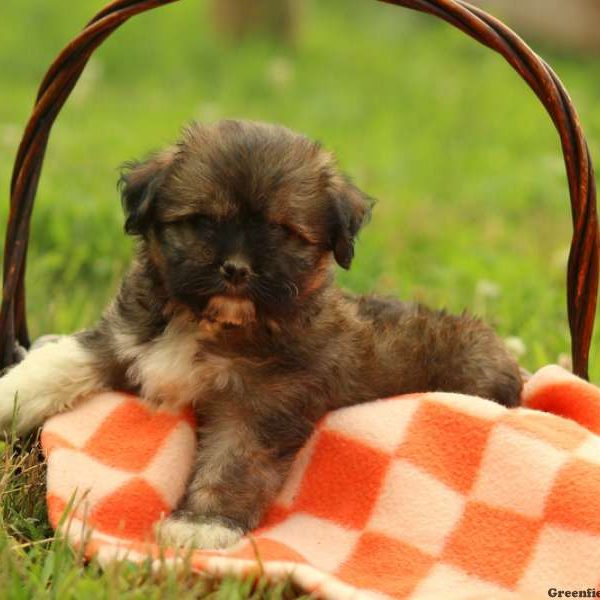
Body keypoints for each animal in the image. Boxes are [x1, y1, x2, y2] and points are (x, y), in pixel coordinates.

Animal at [0, 119, 520, 552]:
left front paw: (202, 526)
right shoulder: (124, 336)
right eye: (203, 221)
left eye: (282, 231)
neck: (208, 323)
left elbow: (231, 463)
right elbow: (63, 360)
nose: (235, 269)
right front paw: (11, 395)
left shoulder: (258, 408)